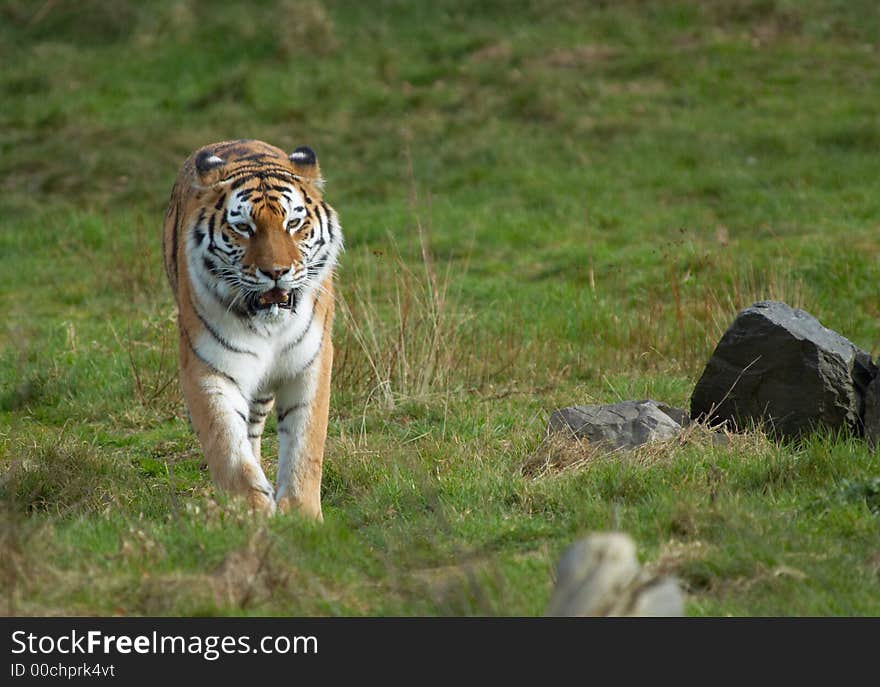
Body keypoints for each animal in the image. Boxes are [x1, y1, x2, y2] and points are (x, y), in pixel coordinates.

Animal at [162, 140, 344, 520]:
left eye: (293, 223)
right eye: (244, 227)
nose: (276, 272)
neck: (269, 326)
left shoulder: (310, 363)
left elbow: (305, 445)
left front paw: (302, 516)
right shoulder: (207, 369)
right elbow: (227, 446)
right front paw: (252, 512)